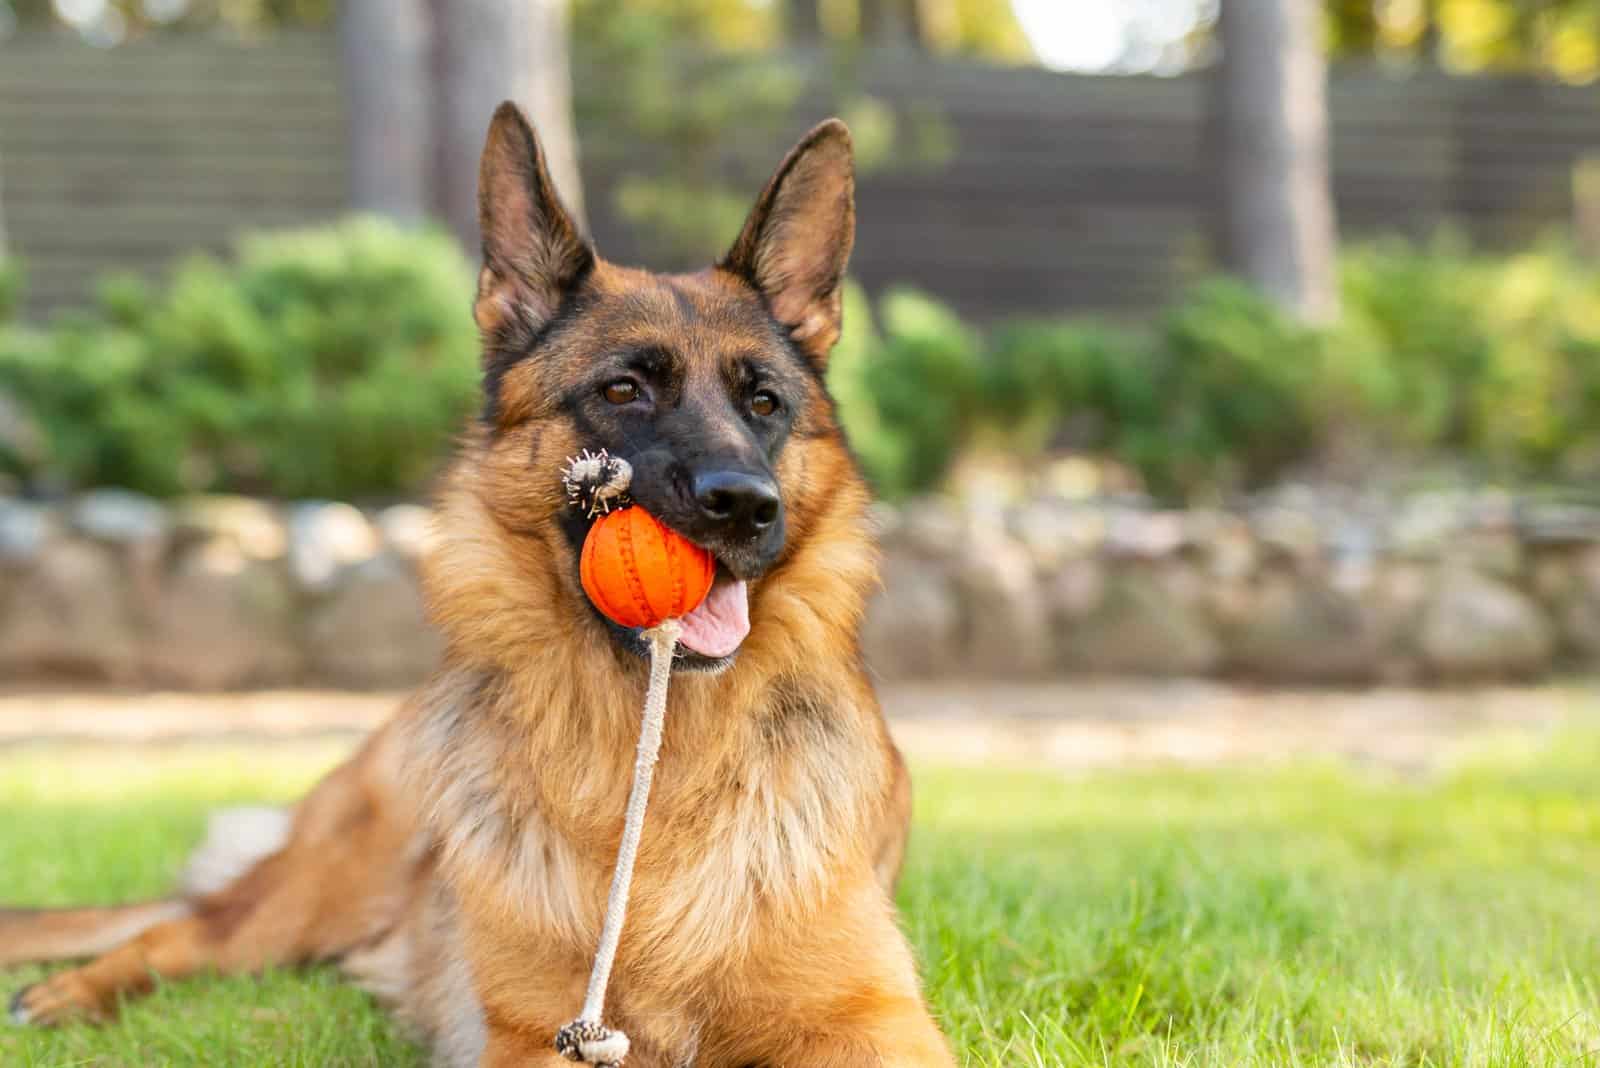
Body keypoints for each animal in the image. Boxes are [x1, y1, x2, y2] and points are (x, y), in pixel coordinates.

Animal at [0, 102, 947, 1068]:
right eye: (624, 389)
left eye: (765, 404)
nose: (746, 506)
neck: (659, 757)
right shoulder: (535, 1039)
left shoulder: (875, 1022)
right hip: (326, 885)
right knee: (186, 930)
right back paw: (75, 991)